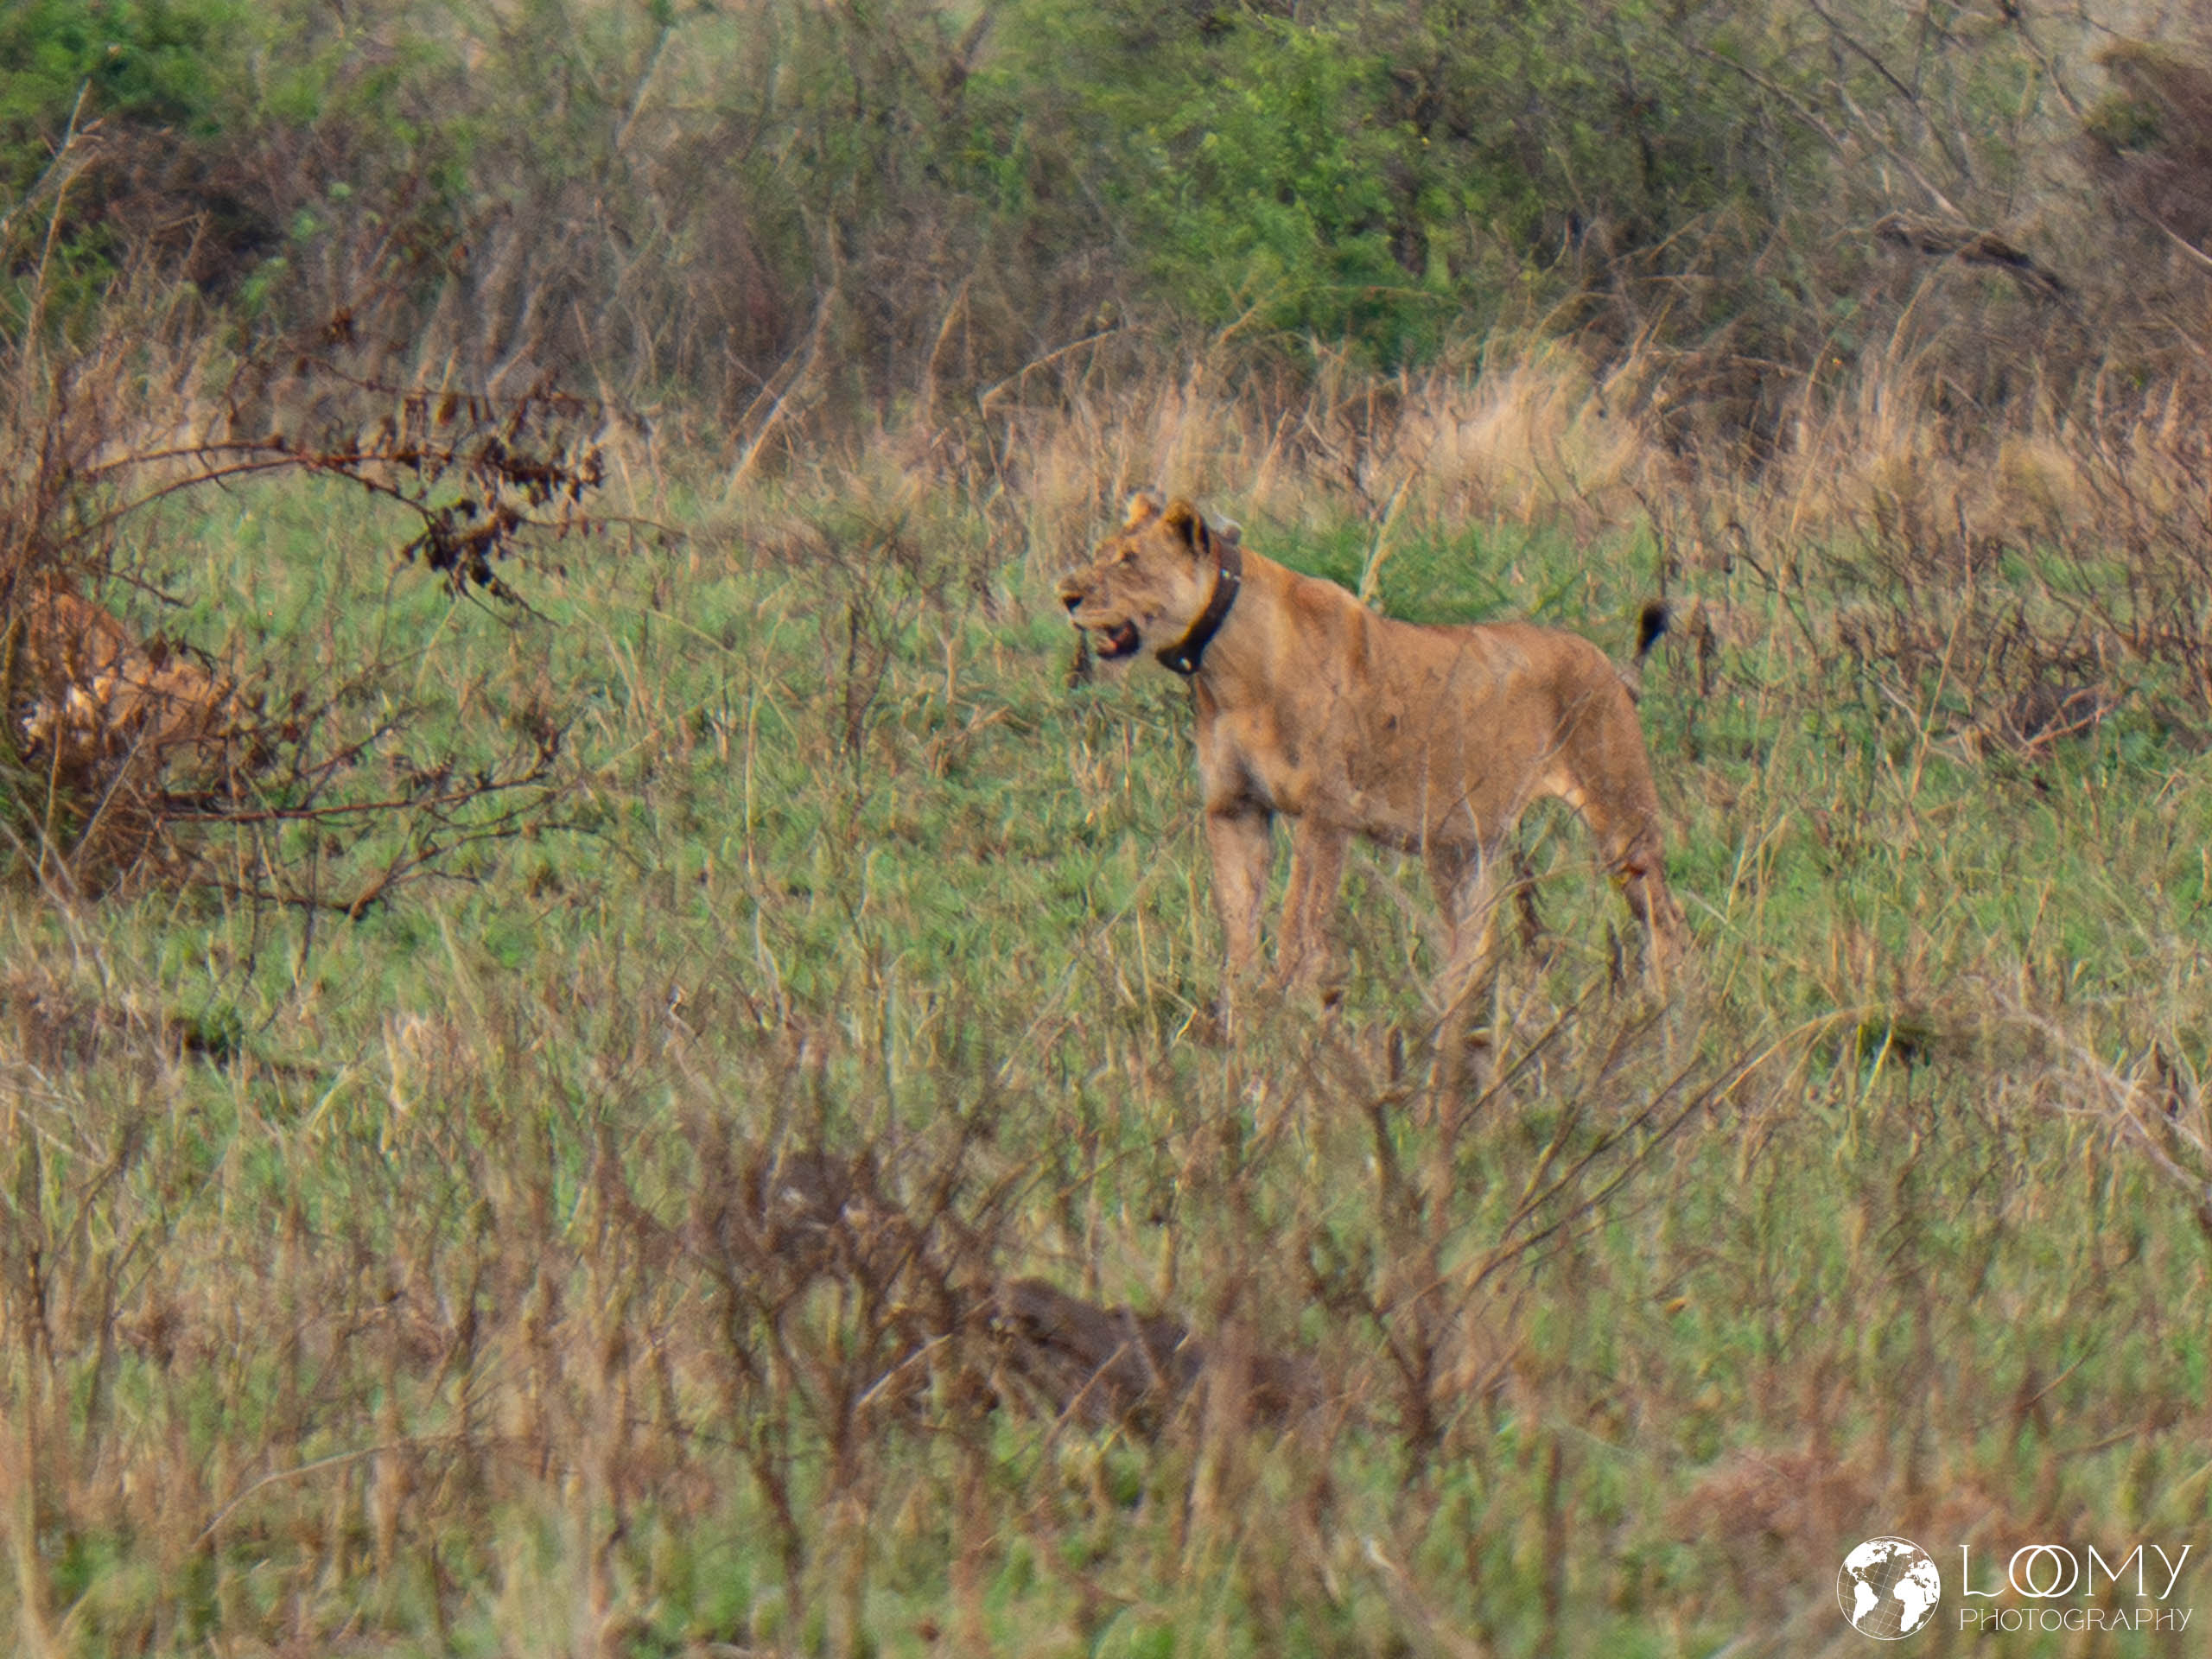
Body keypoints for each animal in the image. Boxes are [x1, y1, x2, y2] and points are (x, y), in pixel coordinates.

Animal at [1058, 494, 1685, 1015]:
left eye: (1129, 560)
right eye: (1100, 553)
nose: (1067, 596)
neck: (1225, 671)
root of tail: (1607, 665)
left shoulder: (1326, 813)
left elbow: (1300, 921)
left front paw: (1293, 1011)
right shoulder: (1233, 809)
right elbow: (1238, 923)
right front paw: (1240, 1017)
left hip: (1622, 822)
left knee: (1666, 918)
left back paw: (1668, 1009)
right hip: (1461, 843)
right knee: (1473, 942)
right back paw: (1448, 1019)